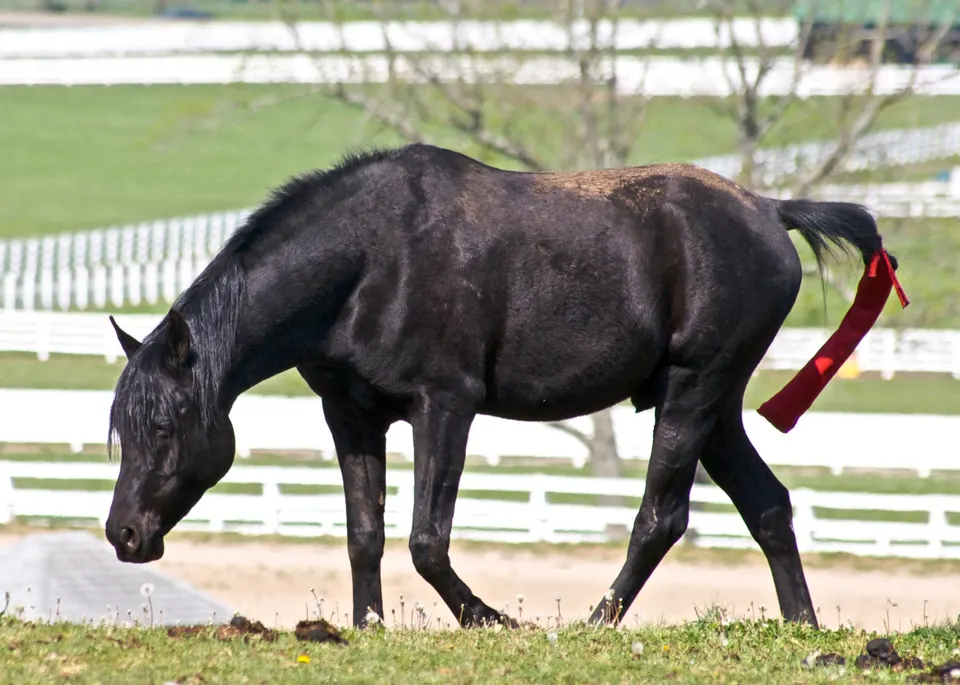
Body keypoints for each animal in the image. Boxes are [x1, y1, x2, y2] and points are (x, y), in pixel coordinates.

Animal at [104, 142, 895, 630]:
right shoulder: (351, 415)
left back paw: (593, 625)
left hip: (692, 392)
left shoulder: (445, 406)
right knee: (768, 507)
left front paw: (492, 619)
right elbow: (366, 534)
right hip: (718, 407)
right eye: (121, 432)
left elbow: (428, 540)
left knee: (661, 518)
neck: (370, 260)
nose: (124, 534)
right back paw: (801, 626)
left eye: (165, 426)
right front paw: (367, 626)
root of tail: (769, 210)